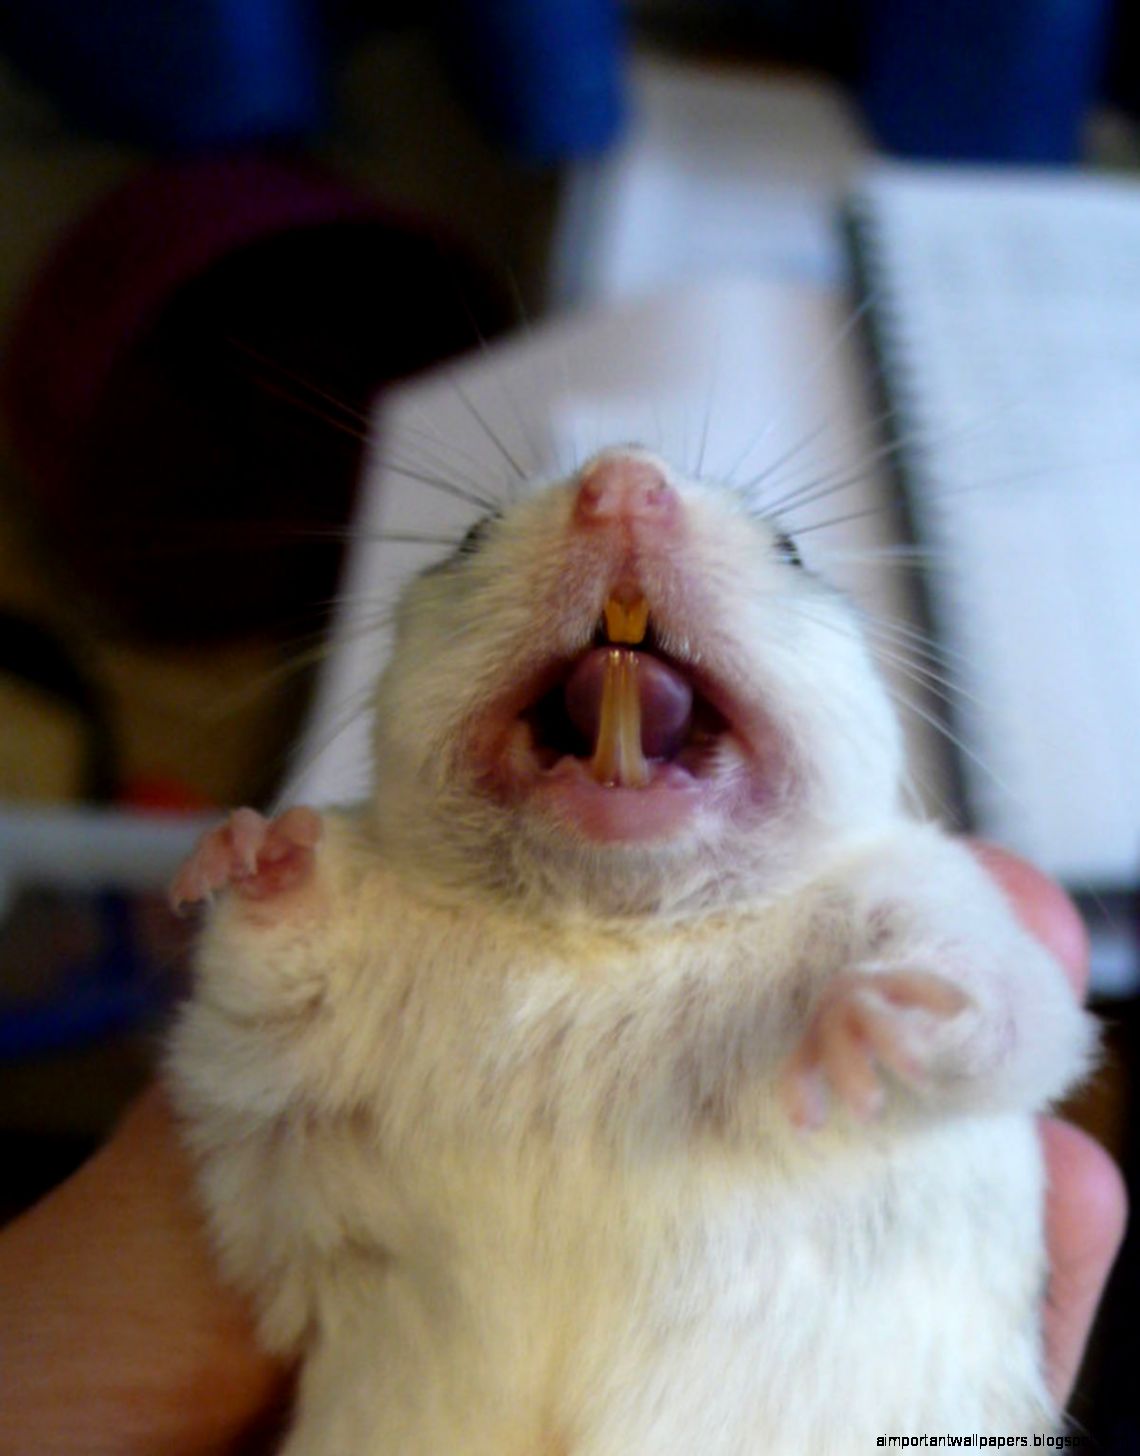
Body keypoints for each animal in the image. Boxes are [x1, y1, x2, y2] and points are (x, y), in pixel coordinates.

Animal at [167, 446, 1094, 1454]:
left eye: (791, 548)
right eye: (470, 535)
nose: (620, 476)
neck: (610, 931)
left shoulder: (940, 904)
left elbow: (1004, 1012)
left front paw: (860, 1026)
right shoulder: (271, 1087)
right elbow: (253, 999)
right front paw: (253, 849)